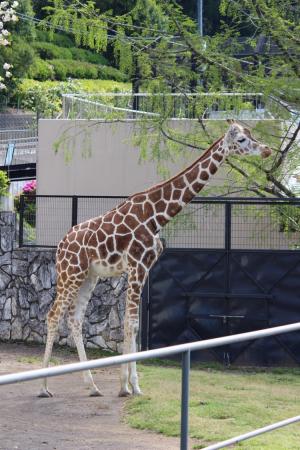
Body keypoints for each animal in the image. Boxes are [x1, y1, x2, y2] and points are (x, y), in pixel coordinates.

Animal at [38, 120, 272, 398]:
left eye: (252, 134)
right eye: (243, 140)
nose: (267, 150)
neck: (156, 216)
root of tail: (61, 245)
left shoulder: (145, 267)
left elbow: (134, 325)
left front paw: (133, 385)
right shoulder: (136, 266)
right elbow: (130, 323)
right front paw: (126, 386)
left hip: (89, 276)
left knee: (74, 319)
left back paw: (92, 386)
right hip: (70, 273)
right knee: (53, 315)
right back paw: (43, 387)